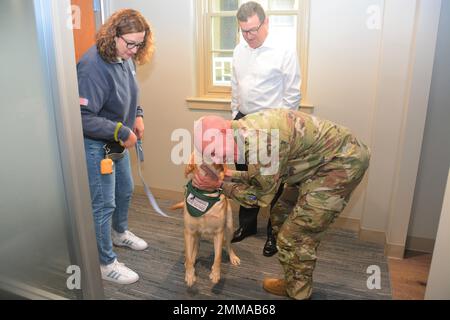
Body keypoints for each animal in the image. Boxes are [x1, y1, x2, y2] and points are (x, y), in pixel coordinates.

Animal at [171, 155, 241, 288]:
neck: (206, 194)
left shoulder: (219, 232)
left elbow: (218, 256)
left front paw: (215, 274)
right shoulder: (188, 232)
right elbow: (189, 256)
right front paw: (190, 275)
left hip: (229, 228)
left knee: (228, 244)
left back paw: (233, 257)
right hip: (195, 234)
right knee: (195, 248)